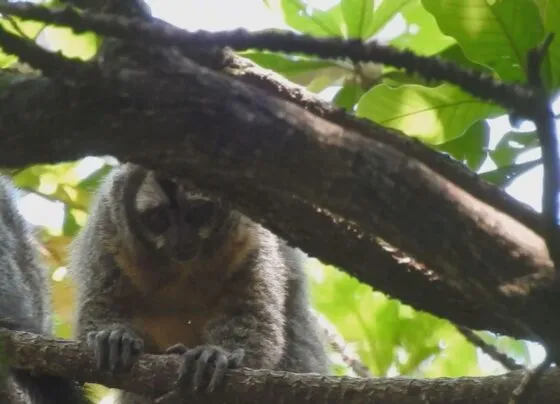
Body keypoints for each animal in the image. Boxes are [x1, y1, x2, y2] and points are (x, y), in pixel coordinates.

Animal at [68, 163, 330, 402]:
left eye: (196, 213)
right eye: (159, 218)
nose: (181, 240)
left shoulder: (249, 236)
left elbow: (251, 313)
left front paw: (216, 356)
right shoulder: (109, 232)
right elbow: (101, 305)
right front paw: (114, 338)